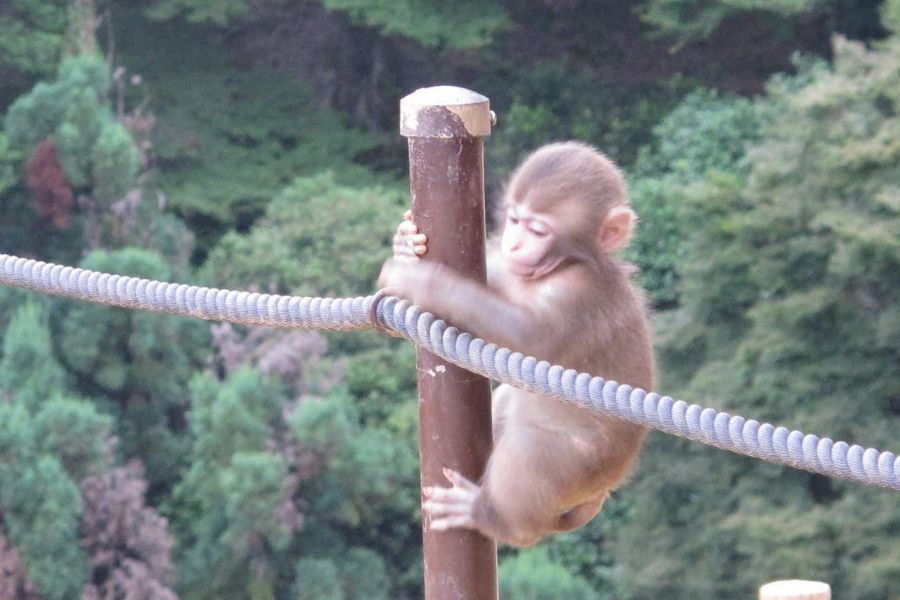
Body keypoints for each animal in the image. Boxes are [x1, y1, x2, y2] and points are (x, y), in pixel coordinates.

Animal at [379, 141, 654, 547]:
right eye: (514, 220)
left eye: (539, 230)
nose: (516, 243)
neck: (562, 265)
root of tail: (605, 487)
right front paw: (404, 241)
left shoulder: (575, 295)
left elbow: (524, 335)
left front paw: (420, 282)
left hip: (581, 466)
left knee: (529, 455)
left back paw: (492, 518)